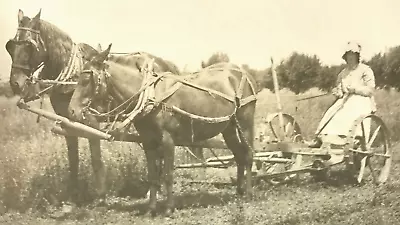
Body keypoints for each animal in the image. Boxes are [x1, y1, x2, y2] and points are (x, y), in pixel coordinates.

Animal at [68, 43, 256, 216]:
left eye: (86, 80)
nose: (72, 111)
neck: (151, 96)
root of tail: (241, 73)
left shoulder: (168, 140)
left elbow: (167, 175)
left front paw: (168, 208)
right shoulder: (148, 141)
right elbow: (152, 175)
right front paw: (151, 208)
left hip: (245, 124)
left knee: (248, 155)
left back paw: (247, 193)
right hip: (229, 127)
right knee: (239, 155)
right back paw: (239, 192)